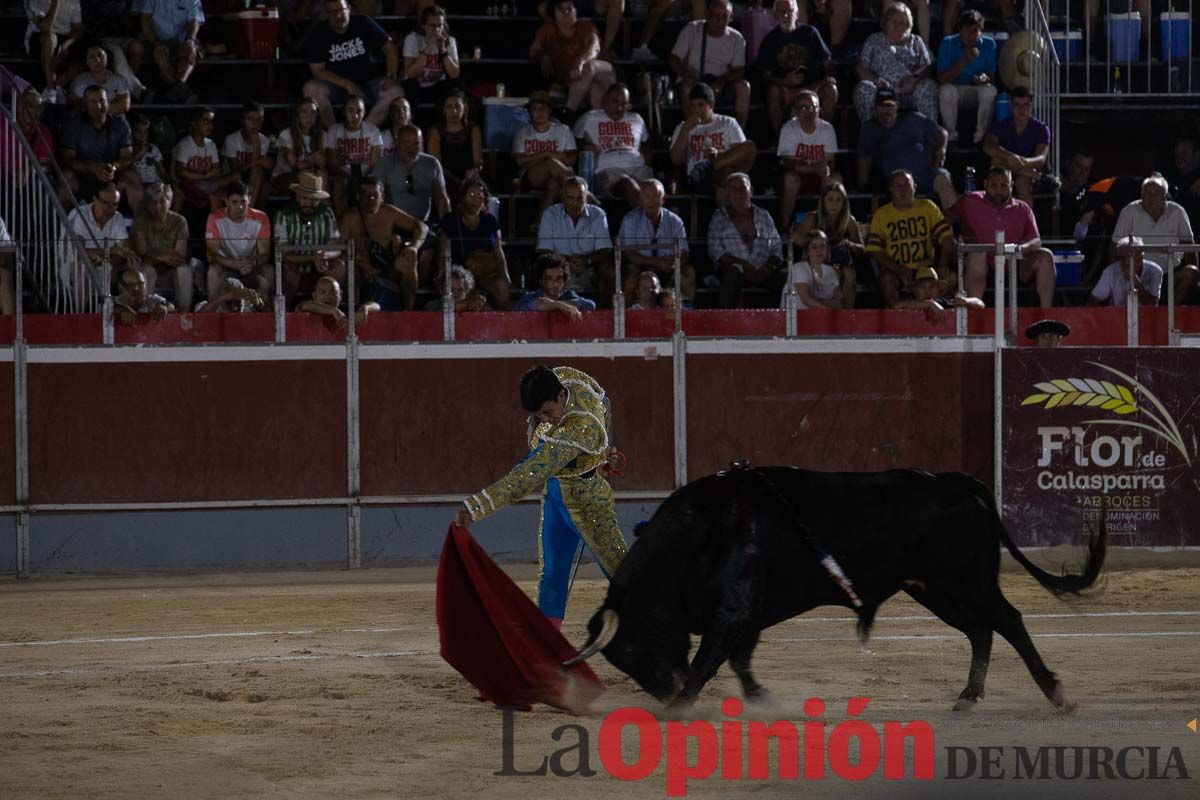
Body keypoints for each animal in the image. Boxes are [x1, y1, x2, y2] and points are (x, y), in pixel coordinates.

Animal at [571, 465, 1104, 710]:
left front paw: (679, 710)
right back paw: (967, 697)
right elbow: (740, 659)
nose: (665, 691)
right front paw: (760, 699)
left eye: (634, 647)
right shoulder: (748, 614)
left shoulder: (733, 612)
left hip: (967, 582)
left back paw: (1055, 692)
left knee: (1008, 621)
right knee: (980, 631)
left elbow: (709, 661)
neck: (702, 533)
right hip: (933, 588)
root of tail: (962, 482)